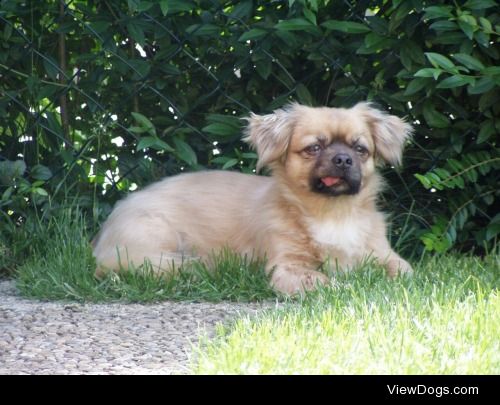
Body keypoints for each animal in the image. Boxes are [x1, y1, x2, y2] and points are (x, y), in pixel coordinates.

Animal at [92, 101, 412, 292]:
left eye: (360, 150)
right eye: (314, 148)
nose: (343, 159)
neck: (332, 212)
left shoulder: (385, 255)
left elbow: (406, 272)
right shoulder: (287, 267)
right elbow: (324, 281)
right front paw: (346, 287)